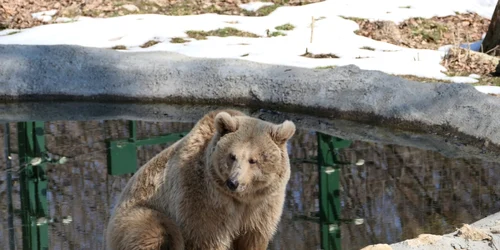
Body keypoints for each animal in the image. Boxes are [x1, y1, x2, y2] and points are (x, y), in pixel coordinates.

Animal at [104, 109, 292, 250]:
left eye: (254, 160)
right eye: (232, 156)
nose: (233, 182)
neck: (242, 199)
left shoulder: (262, 206)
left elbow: (253, 239)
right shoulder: (202, 199)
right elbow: (206, 237)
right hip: (138, 216)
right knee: (153, 232)